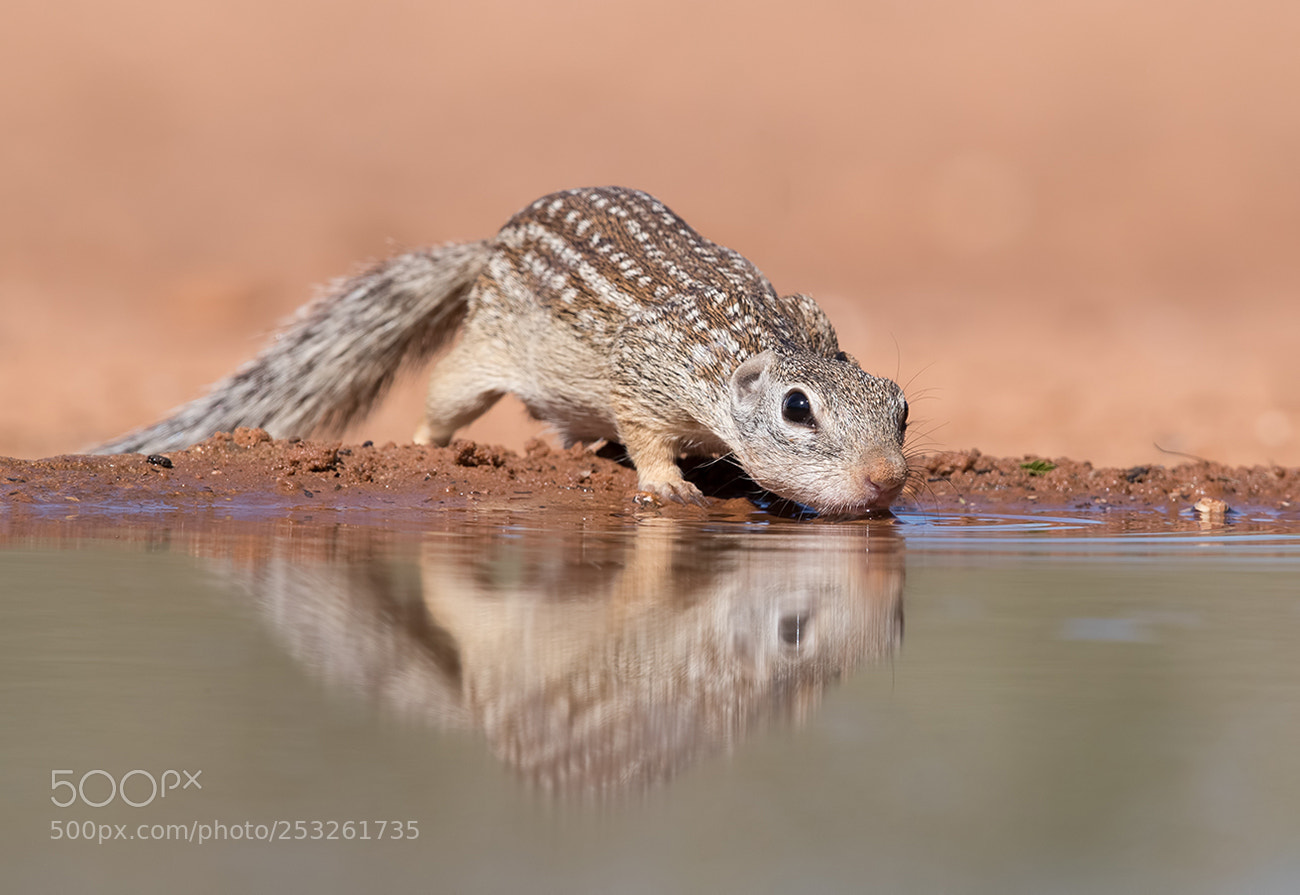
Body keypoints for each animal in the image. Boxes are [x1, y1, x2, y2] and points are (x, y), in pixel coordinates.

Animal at [95, 186, 911, 514]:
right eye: (797, 409)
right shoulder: (645, 372)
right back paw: (427, 444)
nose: (887, 480)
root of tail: (488, 247)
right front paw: (669, 483)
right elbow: (646, 433)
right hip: (479, 361)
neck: (756, 337)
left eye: (900, 406)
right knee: (442, 399)